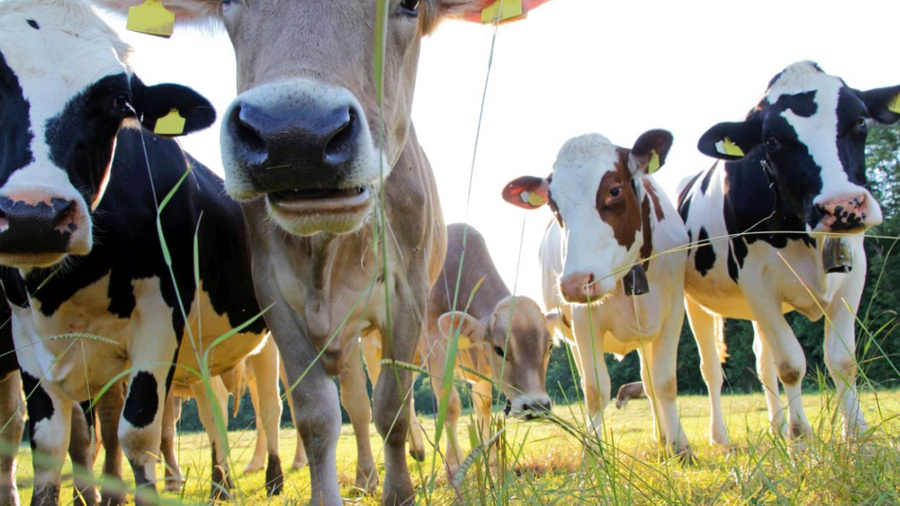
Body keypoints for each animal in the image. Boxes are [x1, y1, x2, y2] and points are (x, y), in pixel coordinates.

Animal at [0, 1, 288, 503]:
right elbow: (49, 445)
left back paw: (271, 477)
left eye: (119, 101)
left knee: (269, 407)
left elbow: (136, 434)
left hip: (265, 338)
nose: (31, 216)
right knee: (212, 410)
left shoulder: (159, 320)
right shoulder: (26, 337)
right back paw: (220, 483)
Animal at [91, 0, 559, 503]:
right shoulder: (274, 298)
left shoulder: (409, 298)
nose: (295, 138)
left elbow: (393, 407)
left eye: (410, 5)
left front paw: (403, 490)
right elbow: (317, 415)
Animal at [502, 130, 693, 458]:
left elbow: (665, 382)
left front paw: (680, 447)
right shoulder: (583, 322)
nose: (574, 284)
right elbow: (594, 389)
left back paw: (662, 437)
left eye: (614, 190)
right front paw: (592, 454)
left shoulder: (674, 313)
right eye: (553, 206)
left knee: (648, 382)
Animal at [677, 61, 900, 445]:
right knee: (712, 369)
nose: (842, 206)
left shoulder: (854, 273)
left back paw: (776, 427)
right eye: (772, 140)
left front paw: (856, 435)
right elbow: (791, 365)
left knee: (762, 362)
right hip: (697, 303)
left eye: (860, 120)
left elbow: (842, 360)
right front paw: (801, 437)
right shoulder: (756, 281)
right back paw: (721, 437)